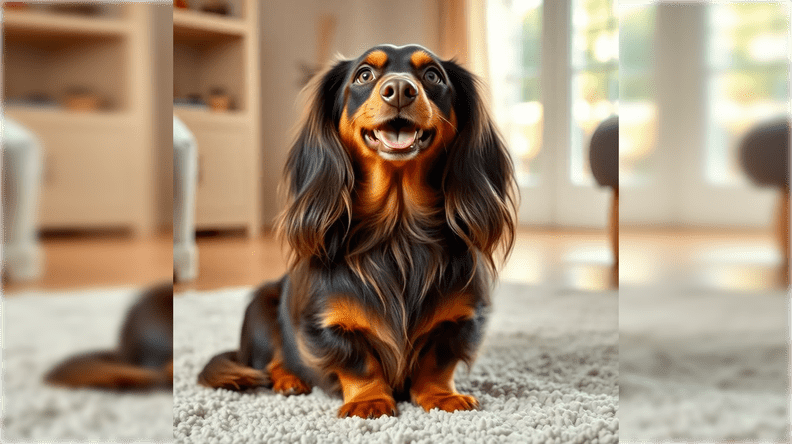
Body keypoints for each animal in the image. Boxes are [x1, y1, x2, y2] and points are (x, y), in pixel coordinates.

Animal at [201, 45, 516, 420]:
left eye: (433, 76)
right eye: (365, 74)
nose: (400, 90)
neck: (398, 232)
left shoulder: (460, 320)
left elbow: (437, 362)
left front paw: (442, 396)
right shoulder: (326, 324)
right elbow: (358, 362)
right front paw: (369, 401)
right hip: (262, 309)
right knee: (273, 360)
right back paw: (289, 380)